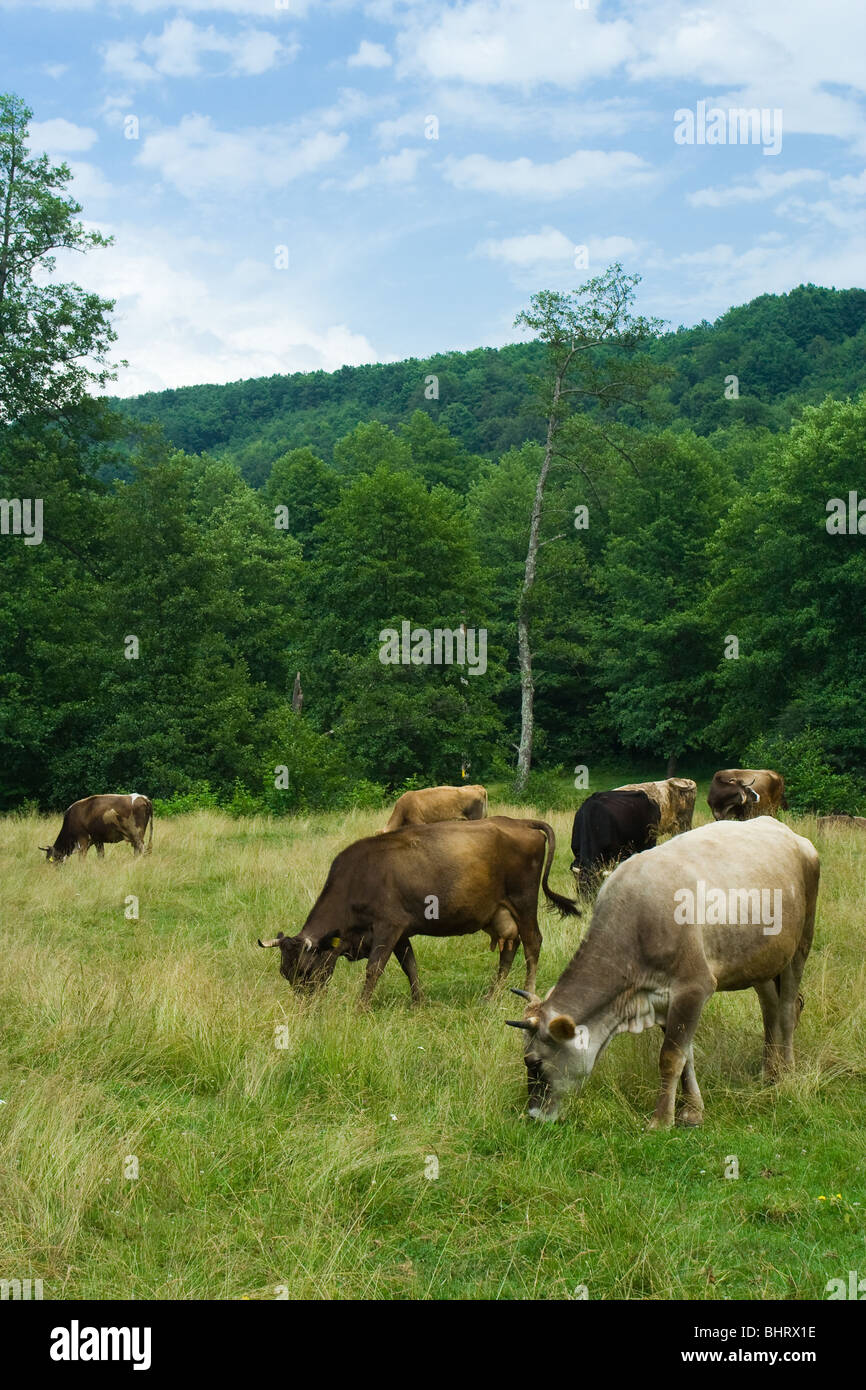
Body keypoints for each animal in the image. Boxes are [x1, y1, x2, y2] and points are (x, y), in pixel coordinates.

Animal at [258, 815, 579, 1008]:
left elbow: (374, 968)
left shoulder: (388, 926)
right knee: (508, 949)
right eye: (286, 973)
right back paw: (492, 995)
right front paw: (419, 1002)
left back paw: (528, 993)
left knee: (533, 944)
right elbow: (409, 965)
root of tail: (520, 822)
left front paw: (361, 1007)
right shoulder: (400, 931)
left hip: (524, 903)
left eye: (305, 970)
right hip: (500, 913)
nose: (305, 1007)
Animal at [507, 818, 819, 1128]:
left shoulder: (693, 988)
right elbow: (685, 1055)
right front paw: (691, 1110)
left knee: (788, 1009)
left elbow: (670, 1056)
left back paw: (786, 1072)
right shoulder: (663, 1000)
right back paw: (769, 1071)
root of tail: (787, 832)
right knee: (770, 1009)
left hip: (801, 944)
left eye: (533, 1061)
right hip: (761, 960)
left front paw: (661, 1119)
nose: (533, 1113)